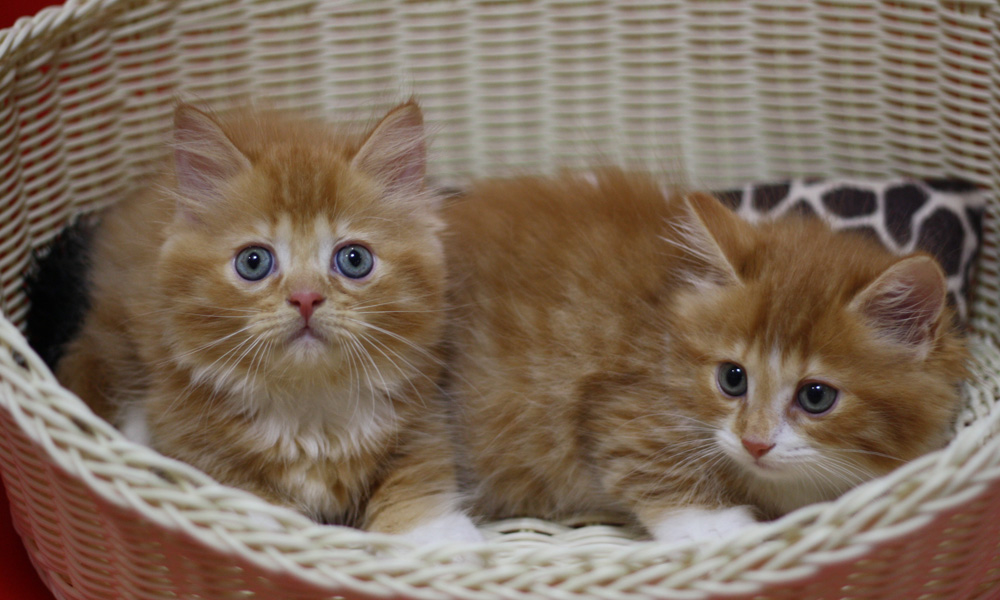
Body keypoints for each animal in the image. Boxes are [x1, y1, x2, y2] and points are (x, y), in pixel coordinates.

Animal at [57, 99, 480, 544]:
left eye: (354, 259)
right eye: (253, 262)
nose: (306, 297)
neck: (310, 409)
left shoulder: (422, 416)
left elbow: (417, 484)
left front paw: (438, 541)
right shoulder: (191, 435)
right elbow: (249, 501)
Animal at [442, 169, 964, 544]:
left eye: (816, 396)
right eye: (733, 379)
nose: (755, 443)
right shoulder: (620, 407)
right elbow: (649, 461)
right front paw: (720, 527)